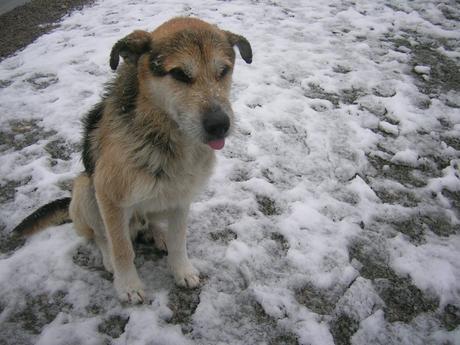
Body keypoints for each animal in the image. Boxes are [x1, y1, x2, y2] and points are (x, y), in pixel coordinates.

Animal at [11, 17, 252, 302]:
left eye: (223, 71)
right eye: (179, 74)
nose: (219, 125)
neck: (165, 136)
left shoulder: (182, 197)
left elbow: (179, 240)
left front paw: (181, 269)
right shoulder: (111, 198)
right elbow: (122, 248)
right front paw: (128, 285)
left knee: (152, 223)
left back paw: (157, 234)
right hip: (85, 190)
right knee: (100, 236)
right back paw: (109, 258)